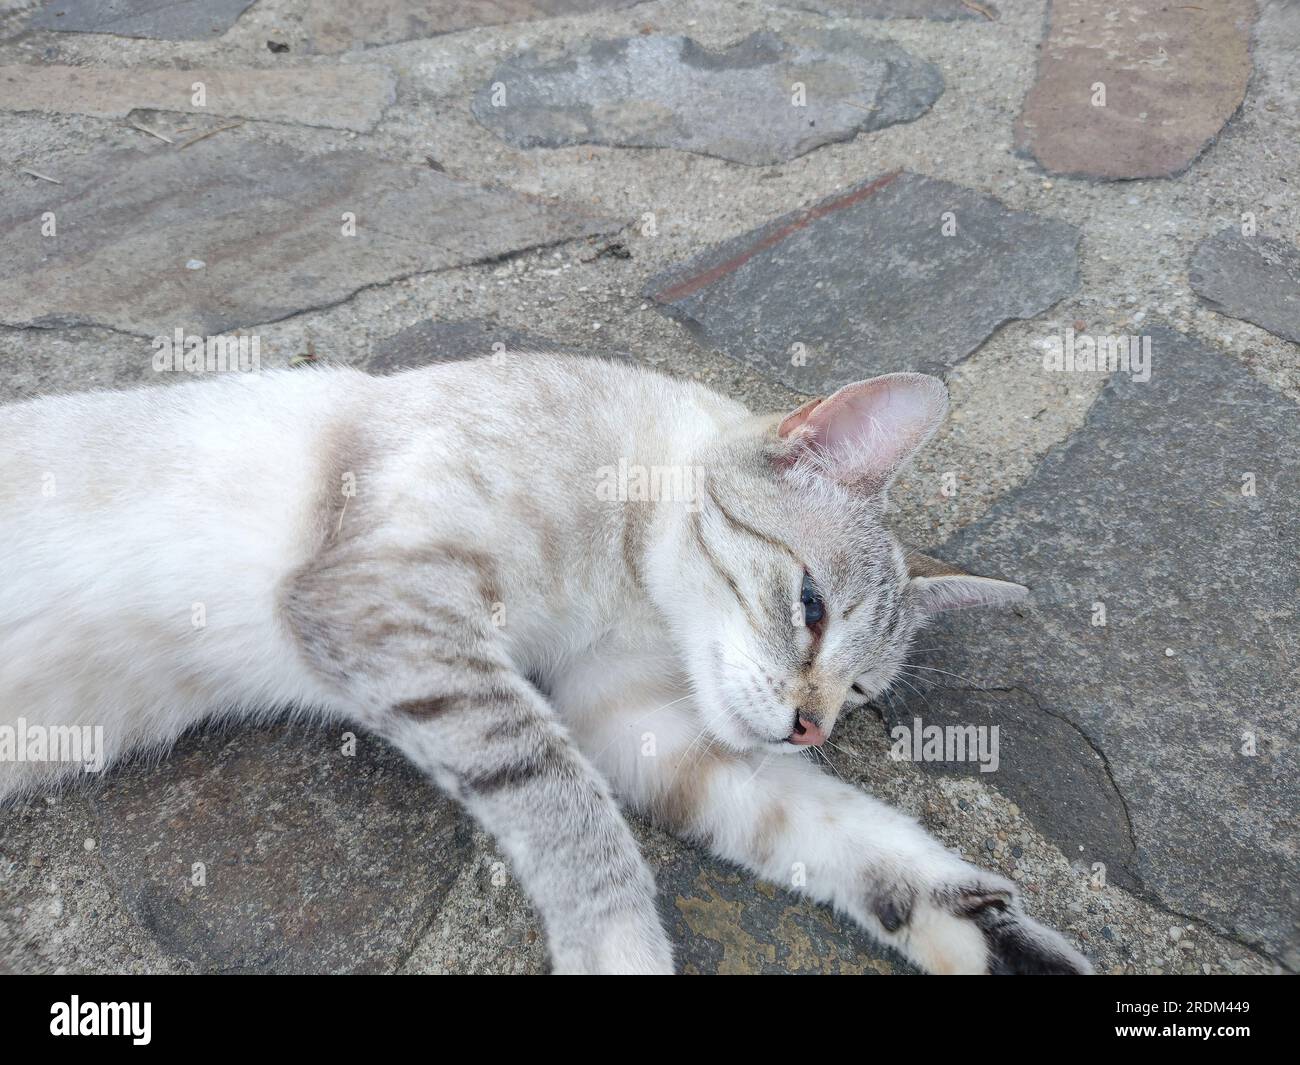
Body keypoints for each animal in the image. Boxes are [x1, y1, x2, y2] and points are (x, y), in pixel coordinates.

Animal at [0, 356, 1092, 972]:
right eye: (811, 608)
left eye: (861, 690)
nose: (809, 724)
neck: (629, 582)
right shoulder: (384, 601)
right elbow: (564, 804)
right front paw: (619, 955)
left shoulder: (640, 724)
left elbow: (833, 829)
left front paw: (982, 929)